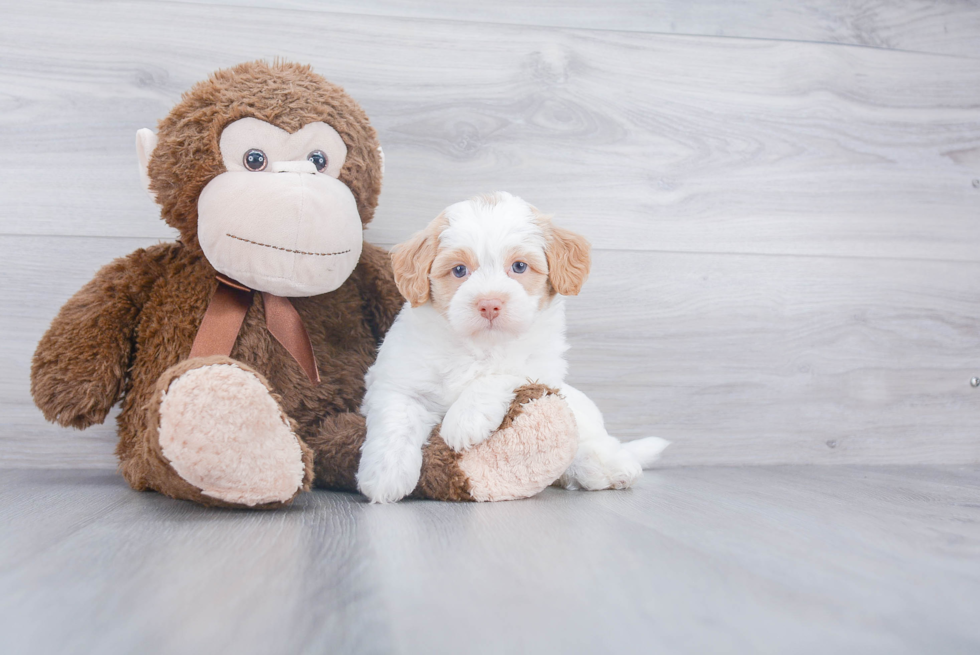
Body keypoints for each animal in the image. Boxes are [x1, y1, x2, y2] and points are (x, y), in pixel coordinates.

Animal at [356, 192, 668, 504]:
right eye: (459, 270)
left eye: (519, 266)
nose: (489, 304)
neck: (480, 345)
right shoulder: (398, 377)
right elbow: (397, 419)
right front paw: (385, 476)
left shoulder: (542, 365)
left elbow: (501, 375)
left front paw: (465, 419)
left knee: (596, 443)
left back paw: (611, 467)